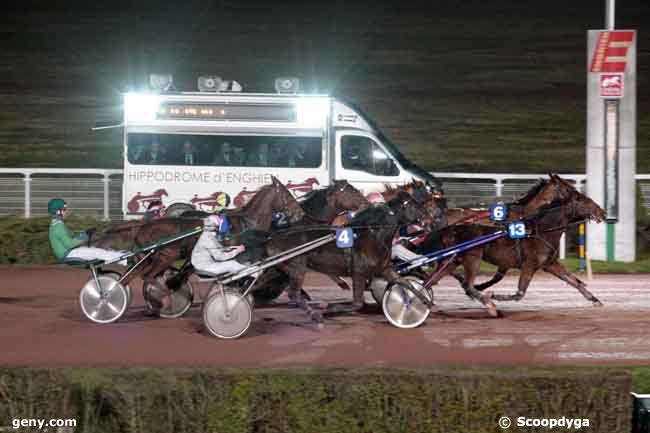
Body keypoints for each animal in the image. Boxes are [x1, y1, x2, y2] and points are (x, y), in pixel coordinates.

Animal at [264, 191, 430, 322]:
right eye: (413, 204)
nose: (429, 218)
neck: (373, 236)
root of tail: (273, 238)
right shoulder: (359, 273)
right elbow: (357, 303)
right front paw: (329, 310)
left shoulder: (384, 270)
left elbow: (405, 283)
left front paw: (424, 301)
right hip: (297, 268)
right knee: (293, 293)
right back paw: (315, 314)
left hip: (279, 270)